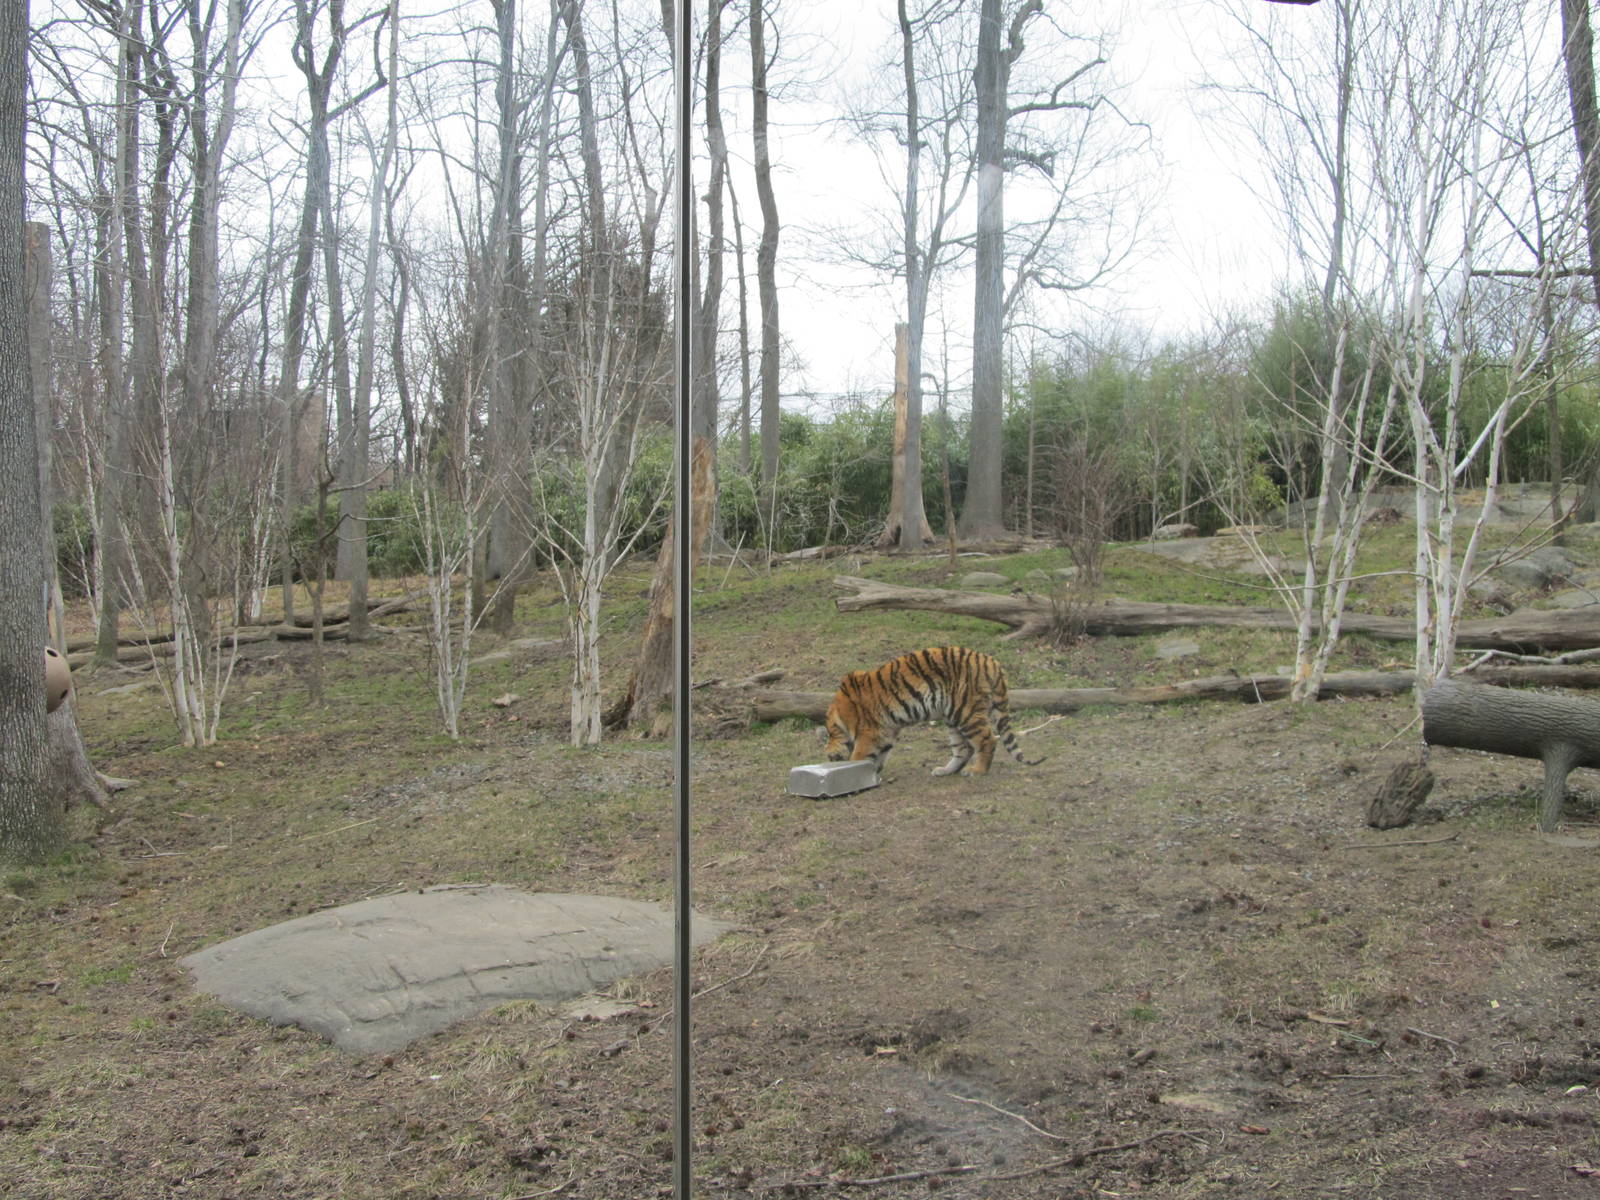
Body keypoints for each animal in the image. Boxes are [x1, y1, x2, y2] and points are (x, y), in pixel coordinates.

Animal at [823, 646, 1045, 776]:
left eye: (831, 733)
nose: (828, 756)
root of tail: (990, 661)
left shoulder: (869, 732)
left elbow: (859, 756)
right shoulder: (886, 731)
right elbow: (880, 753)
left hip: (966, 711)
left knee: (987, 740)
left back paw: (977, 771)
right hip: (953, 717)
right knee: (963, 749)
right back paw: (945, 770)